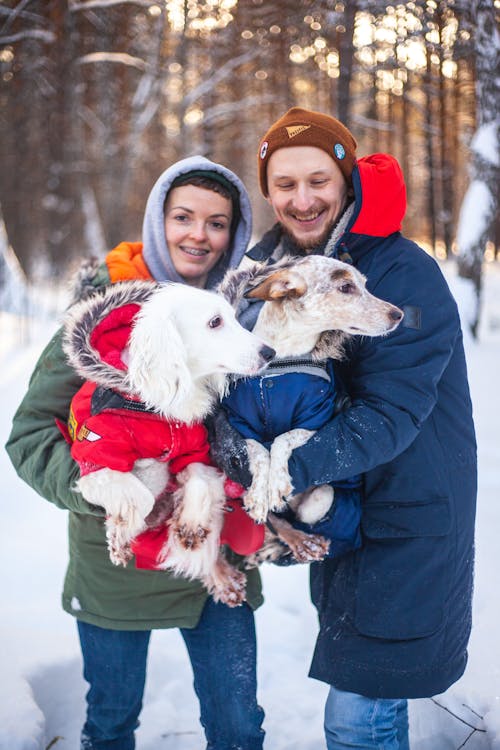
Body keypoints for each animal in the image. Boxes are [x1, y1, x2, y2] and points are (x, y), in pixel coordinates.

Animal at [62, 280, 276, 608]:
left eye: (234, 316)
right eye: (215, 322)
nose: (270, 352)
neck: (159, 409)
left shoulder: (196, 451)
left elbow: (200, 483)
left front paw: (189, 525)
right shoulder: (96, 461)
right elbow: (141, 496)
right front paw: (120, 535)